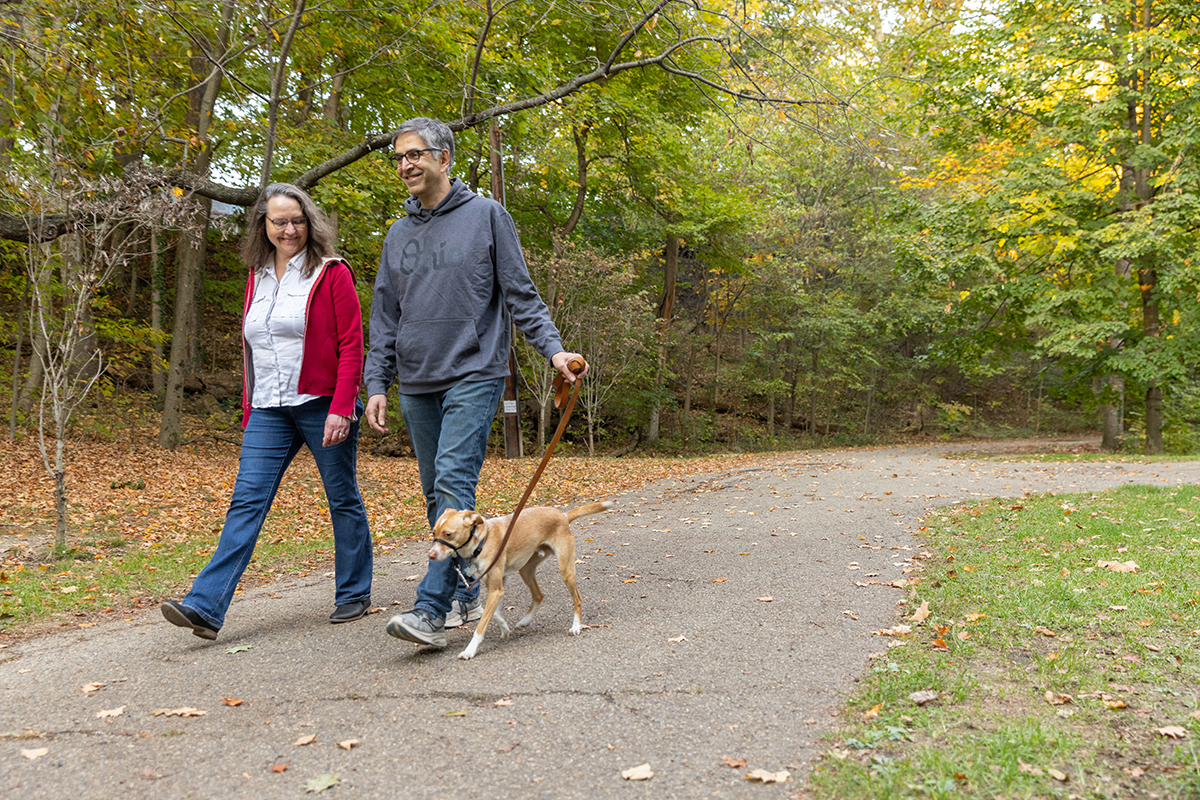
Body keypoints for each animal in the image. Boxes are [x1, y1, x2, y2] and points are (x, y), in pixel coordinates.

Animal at [427, 501, 614, 662]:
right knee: (538, 595)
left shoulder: (496, 589)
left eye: (448, 534)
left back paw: (576, 627)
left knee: (577, 599)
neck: (482, 540)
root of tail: (563, 515)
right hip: (526, 569)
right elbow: (493, 613)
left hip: (565, 570)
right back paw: (525, 621)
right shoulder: (497, 586)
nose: (431, 555)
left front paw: (469, 650)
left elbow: (481, 624)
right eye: (433, 532)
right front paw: (504, 628)